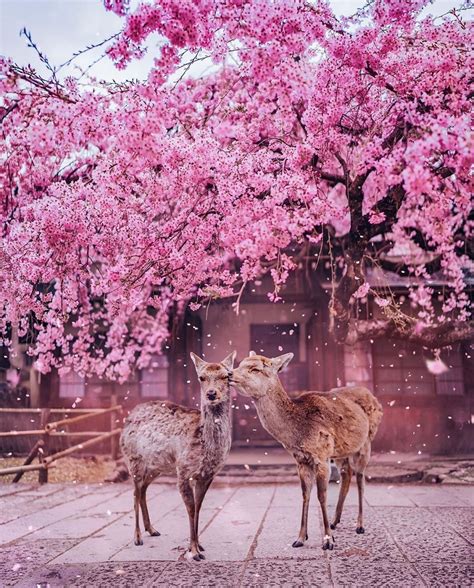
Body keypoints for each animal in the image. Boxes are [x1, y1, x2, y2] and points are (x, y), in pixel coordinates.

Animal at [120, 350, 235, 560]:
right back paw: (138, 537)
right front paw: (194, 551)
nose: (211, 393)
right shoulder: (183, 470)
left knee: (143, 489)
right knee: (134, 492)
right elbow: (190, 509)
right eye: (201, 377)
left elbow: (198, 508)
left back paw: (152, 529)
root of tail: (129, 415)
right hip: (133, 459)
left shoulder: (207, 475)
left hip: (157, 465)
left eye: (226, 376)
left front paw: (200, 546)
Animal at [231, 354, 384, 552]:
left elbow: (322, 495)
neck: (298, 433)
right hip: (342, 450)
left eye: (255, 369)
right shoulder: (301, 460)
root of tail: (374, 398)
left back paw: (360, 525)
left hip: (366, 443)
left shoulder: (321, 455)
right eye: (240, 364)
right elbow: (305, 494)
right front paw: (300, 538)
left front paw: (328, 541)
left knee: (360, 477)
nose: (229, 373)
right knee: (347, 473)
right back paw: (335, 521)